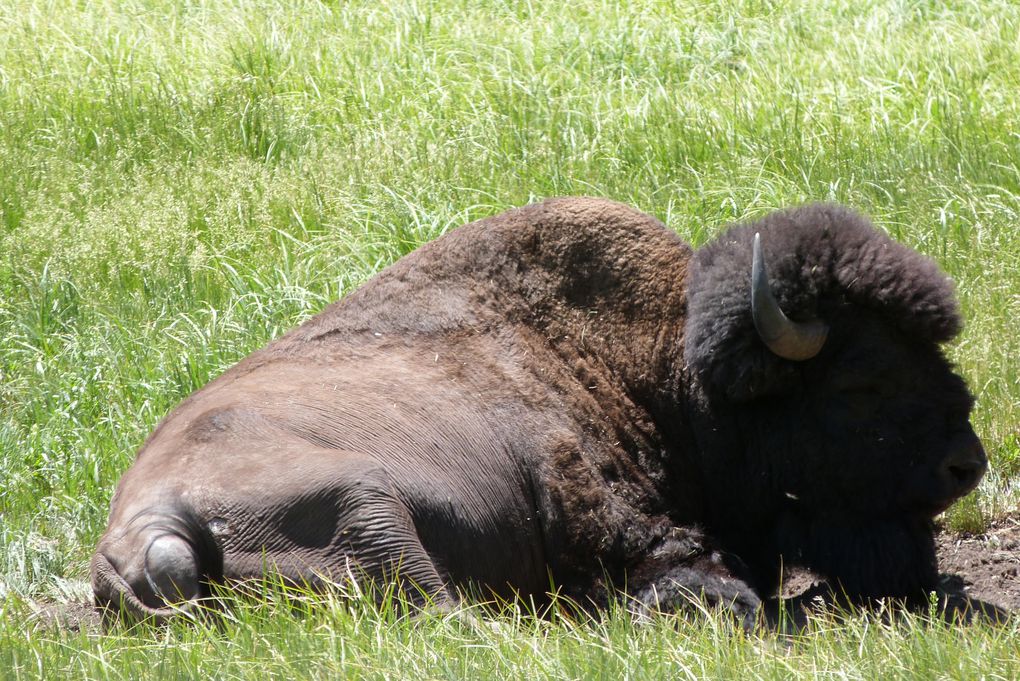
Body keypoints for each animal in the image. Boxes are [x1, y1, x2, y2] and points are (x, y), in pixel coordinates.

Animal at [91, 195, 983, 623]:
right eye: (860, 382)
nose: (967, 463)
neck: (661, 368)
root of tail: (150, 524)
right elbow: (716, 585)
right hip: (364, 503)